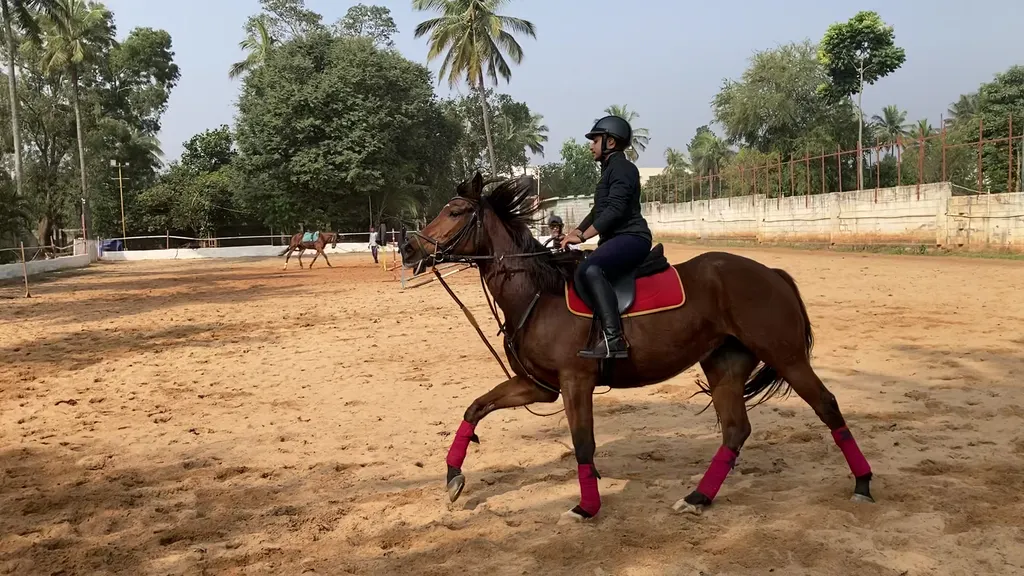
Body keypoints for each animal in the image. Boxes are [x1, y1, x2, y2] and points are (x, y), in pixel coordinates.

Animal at [400, 172, 875, 523]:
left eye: (455, 211)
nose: (408, 248)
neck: (538, 293)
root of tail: (772, 273)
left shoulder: (575, 382)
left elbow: (584, 444)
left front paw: (587, 507)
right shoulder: (539, 386)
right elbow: (475, 408)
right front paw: (453, 477)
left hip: (787, 357)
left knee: (828, 407)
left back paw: (863, 484)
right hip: (725, 364)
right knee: (736, 430)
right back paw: (698, 498)